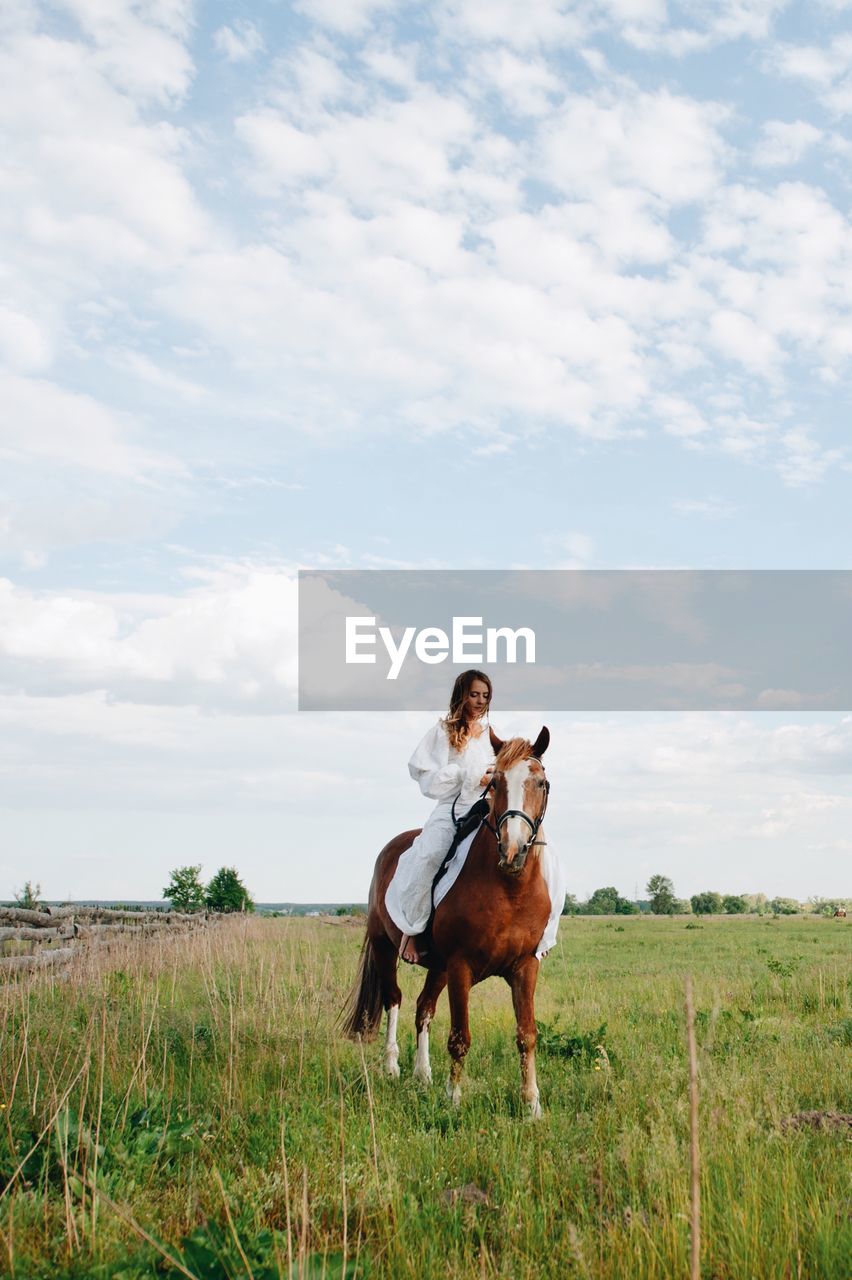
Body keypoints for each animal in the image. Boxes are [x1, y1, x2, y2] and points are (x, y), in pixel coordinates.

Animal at [342, 732, 550, 1121]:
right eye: (495, 783)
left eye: (540, 783)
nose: (512, 849)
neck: (509, 889)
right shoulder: (461, 966)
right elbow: (459, 1037)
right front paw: (453, 1098)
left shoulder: (525, 966)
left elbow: (526, 1034)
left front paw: (531, 1104)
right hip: (384, 947)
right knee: (394, 999)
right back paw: (392, 1066)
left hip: (437, 967)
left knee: (423, 1008)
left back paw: (422, 1074)